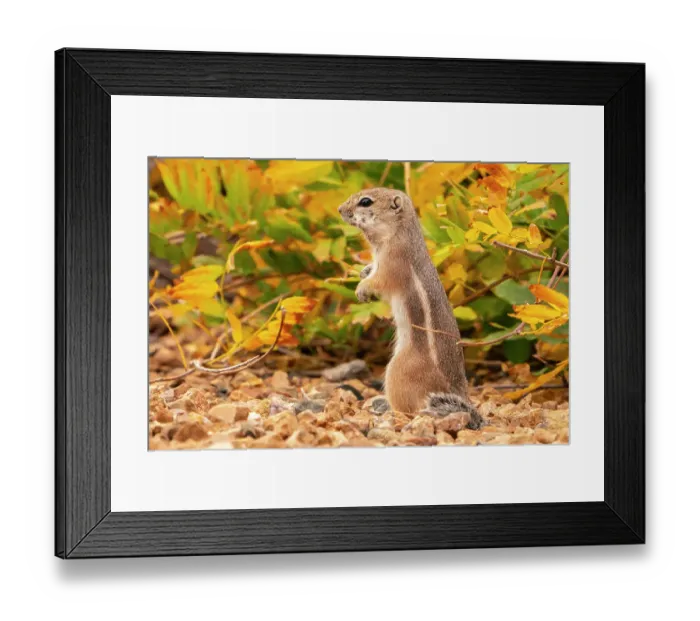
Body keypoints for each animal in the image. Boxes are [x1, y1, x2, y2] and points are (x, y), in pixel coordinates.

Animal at [338, 188, 482, 429]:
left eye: (365, 202)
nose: (340, 210)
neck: (397, 233)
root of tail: (457, 392)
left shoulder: (392, 263)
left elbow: (379, 281)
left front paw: (362, 288)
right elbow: (371, 270)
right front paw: (363, 272)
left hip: (397, 371)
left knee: (410, 410)